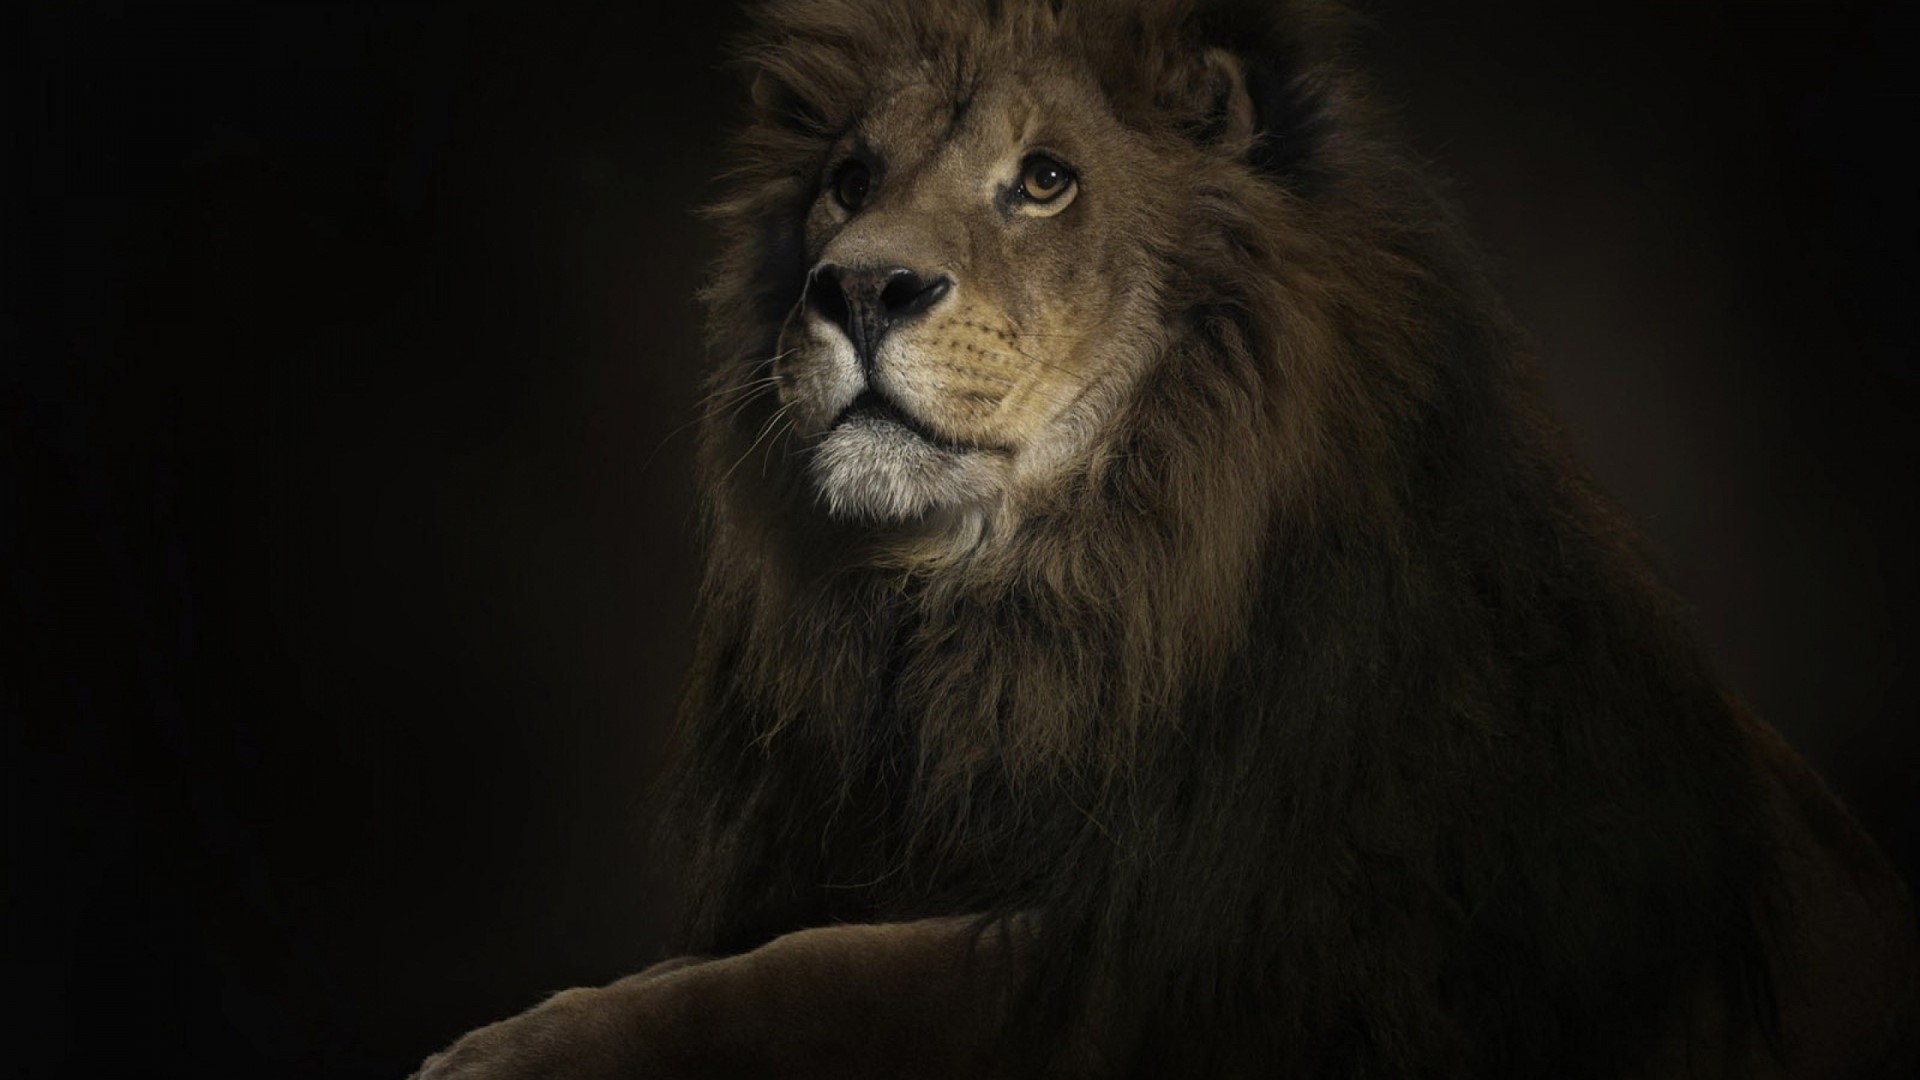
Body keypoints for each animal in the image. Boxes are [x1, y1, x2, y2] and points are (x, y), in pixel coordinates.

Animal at [415, 0, 1918, 1077]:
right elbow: (744, 961)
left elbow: (816, 981)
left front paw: (505, 1053)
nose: (856, 287)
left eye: (1044, 181)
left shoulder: (1205, 954)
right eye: (848, 178)